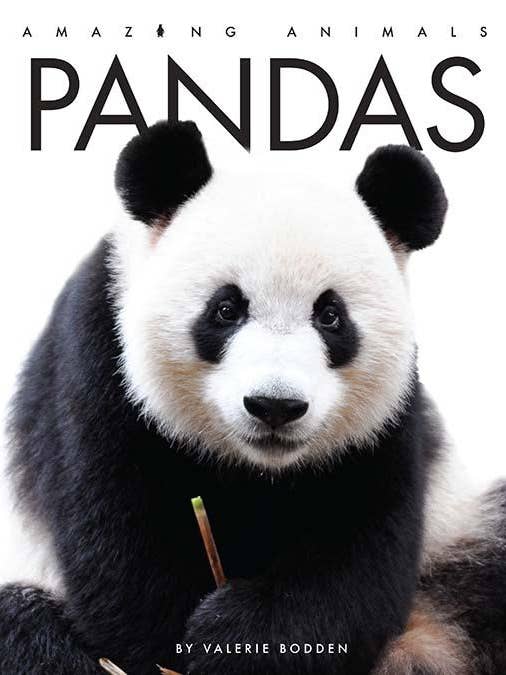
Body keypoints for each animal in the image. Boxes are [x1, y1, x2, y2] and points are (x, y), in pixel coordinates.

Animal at [1, 120, 505, 675]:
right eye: (226, 309)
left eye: (330, 316)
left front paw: (239, 637)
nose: (275, 406)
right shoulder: (96, 369)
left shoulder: (385, 425)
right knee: (23, 628)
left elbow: (360, 558)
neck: (256, 469)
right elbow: (125, 571)